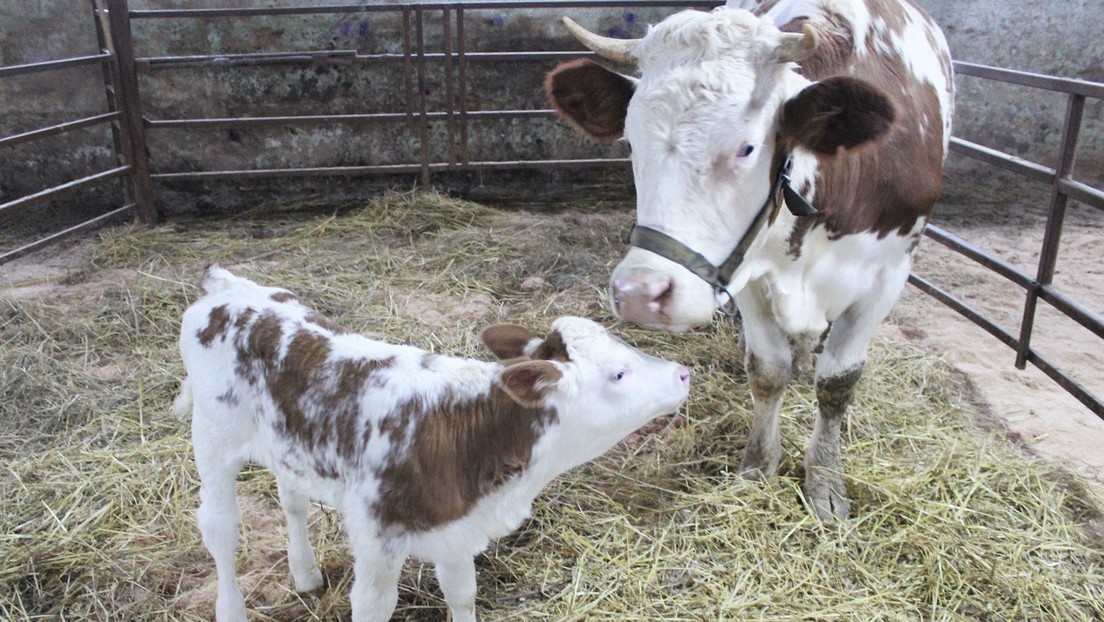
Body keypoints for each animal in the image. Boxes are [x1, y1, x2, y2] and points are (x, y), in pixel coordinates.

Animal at [172, 266, 688, 622]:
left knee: (292, 500)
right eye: (618, 373)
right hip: (212, 438)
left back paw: (306, 573)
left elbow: (462, 592)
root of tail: (229, 288)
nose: (683, 373)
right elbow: (373, 607)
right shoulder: (376, 536)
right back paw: (231, 608)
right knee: (220, 530)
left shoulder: (456, 527)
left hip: (287, 443)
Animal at [547, 0, 953, 521]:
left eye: (746, 147)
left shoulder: (888, 275)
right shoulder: (747, 276)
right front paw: (759, 465)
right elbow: (768, 370)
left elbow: (838, 381)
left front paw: (826, 480)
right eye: (632, 143)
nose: (640, 294)